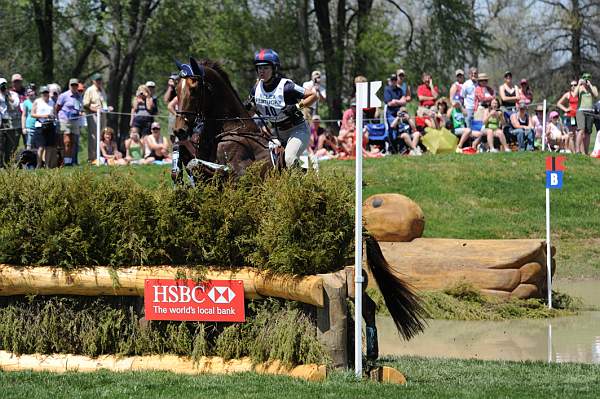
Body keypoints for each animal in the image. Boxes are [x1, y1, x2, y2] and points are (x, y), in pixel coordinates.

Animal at [171, 57, 426, 362]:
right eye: (175, 89)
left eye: (194, 88)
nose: (178, 130)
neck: (229, 131)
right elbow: (191, 162)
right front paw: (176, 164)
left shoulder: (239, 178)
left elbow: (210, 166)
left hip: (349, 266)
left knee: (365, 303)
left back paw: (370, 354)